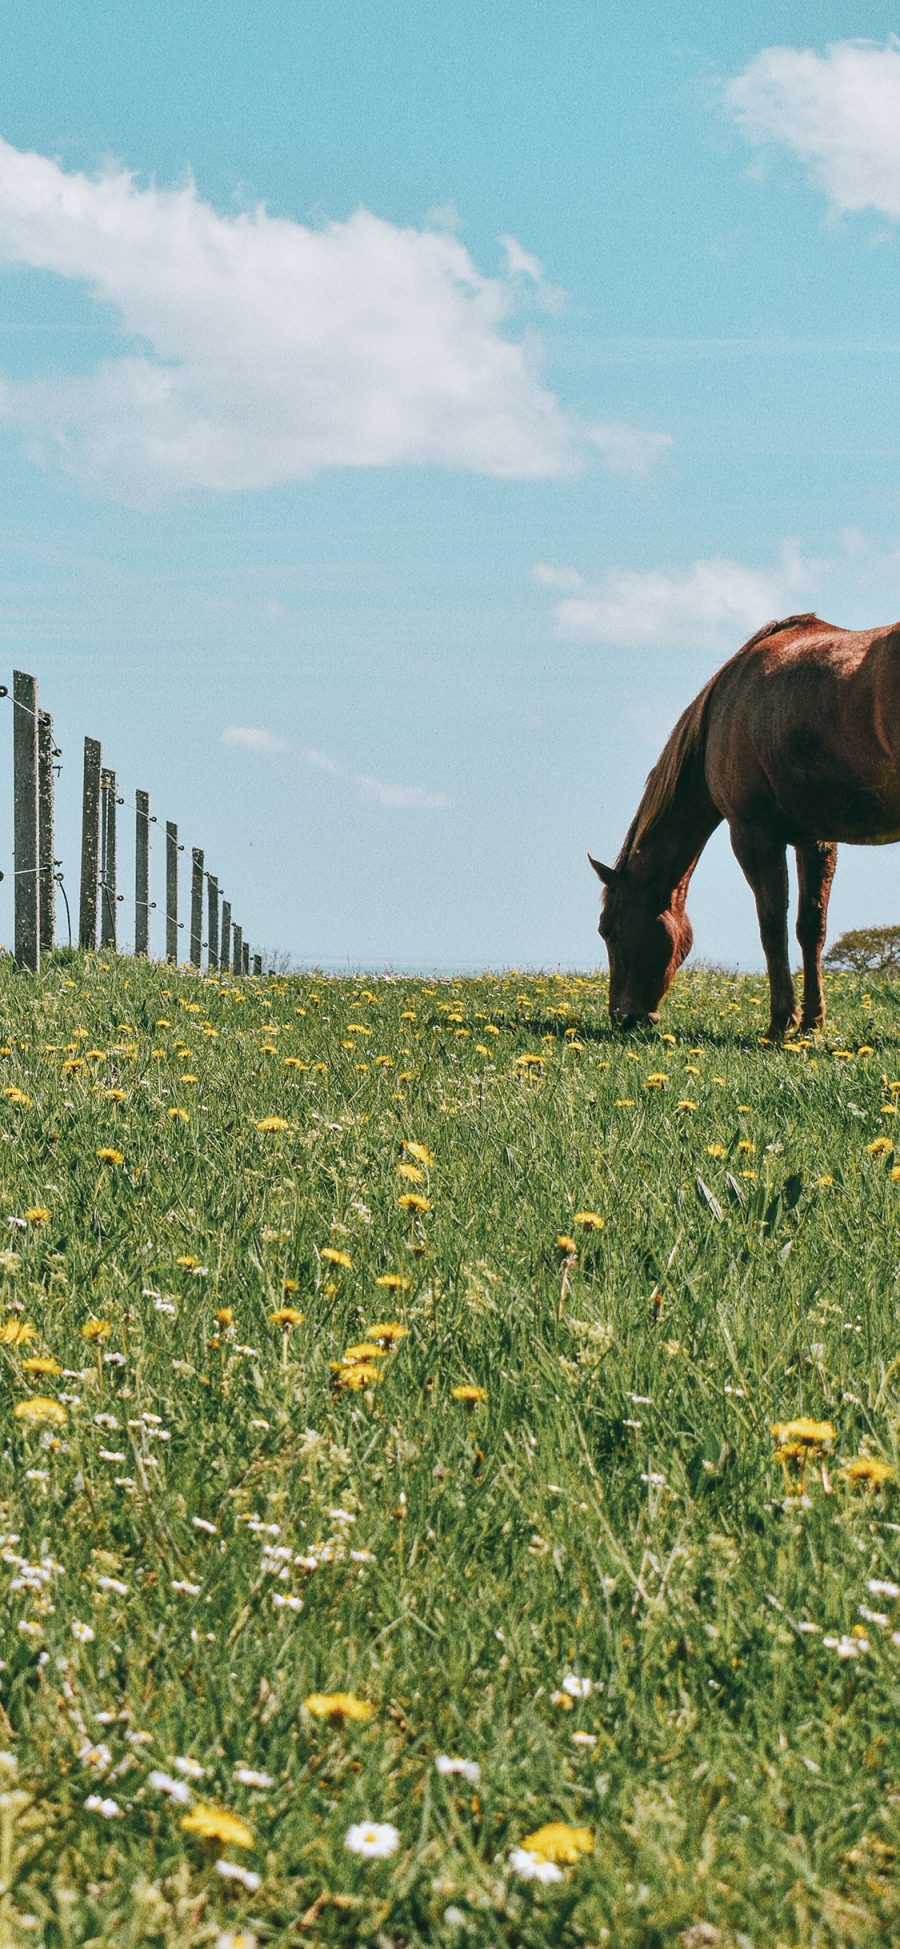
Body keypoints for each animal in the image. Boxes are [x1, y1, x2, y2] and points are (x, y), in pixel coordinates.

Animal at [592, 611, 900, 1044]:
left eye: (608, 928)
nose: (623, 1016)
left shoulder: (753, 836)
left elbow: (772, 926)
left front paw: (780, 1023)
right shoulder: (815, 840)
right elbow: (811, 928)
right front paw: (812, 1023)